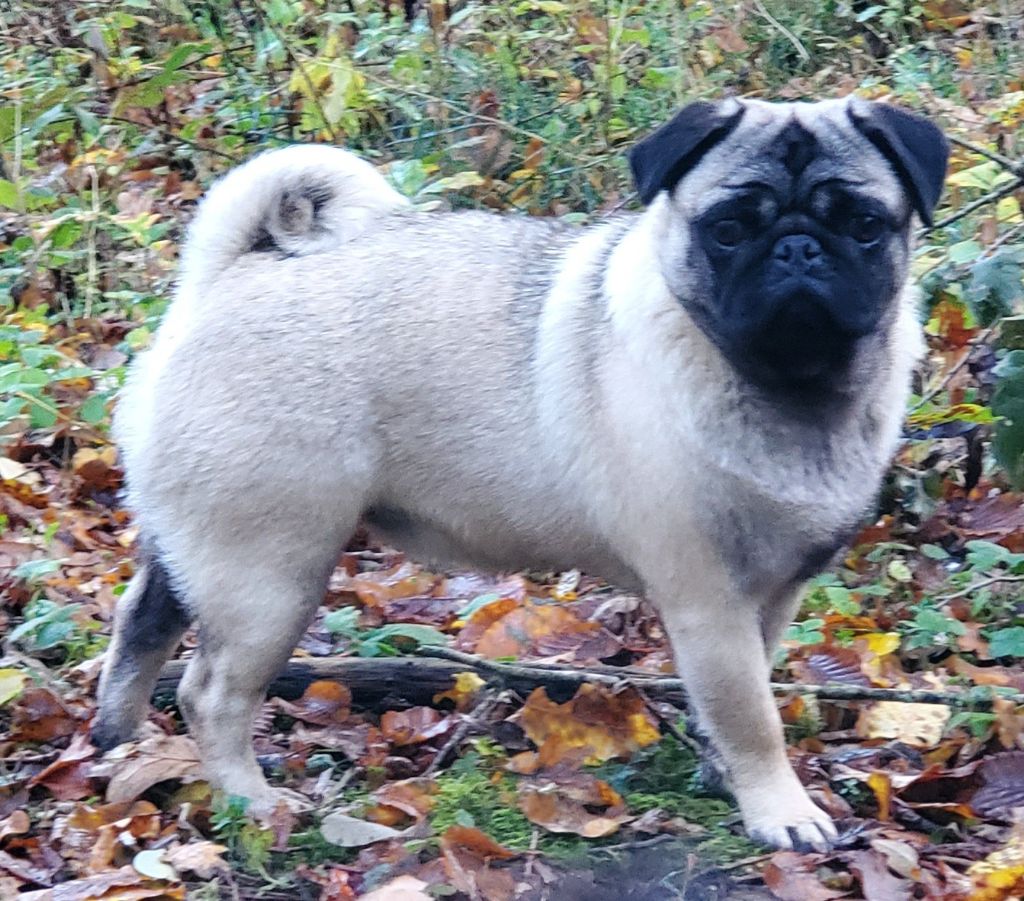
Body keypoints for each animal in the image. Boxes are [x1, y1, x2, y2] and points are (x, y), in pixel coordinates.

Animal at [93, 97, 948, 851]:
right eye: (729, 230)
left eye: (866, 225)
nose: (798, 249)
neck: (787, 388)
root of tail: (222, 279)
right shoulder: (709, 601)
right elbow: (752, 714)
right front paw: (779, 808)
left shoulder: (768, 598)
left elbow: (735, 703)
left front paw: (722, 777)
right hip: (268, 573)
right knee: (211, 693)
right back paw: (251, 802)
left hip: (199, 548)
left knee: (140, 625)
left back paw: (119, 745)